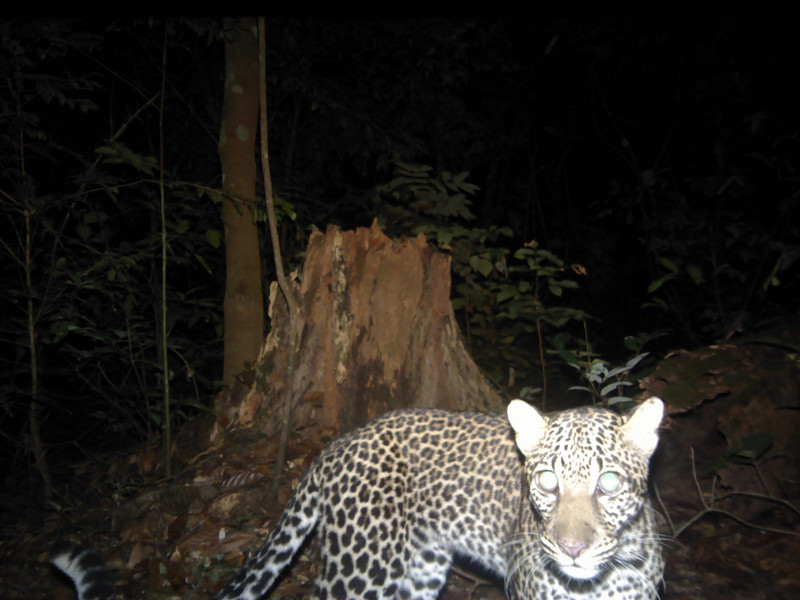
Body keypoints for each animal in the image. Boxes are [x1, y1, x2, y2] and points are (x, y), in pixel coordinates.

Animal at [51, 397, 665, 600]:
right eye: (546, 483)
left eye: (609, 483)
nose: (572, 551)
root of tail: (338, 442)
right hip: (358, 571)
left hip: (416, 571)